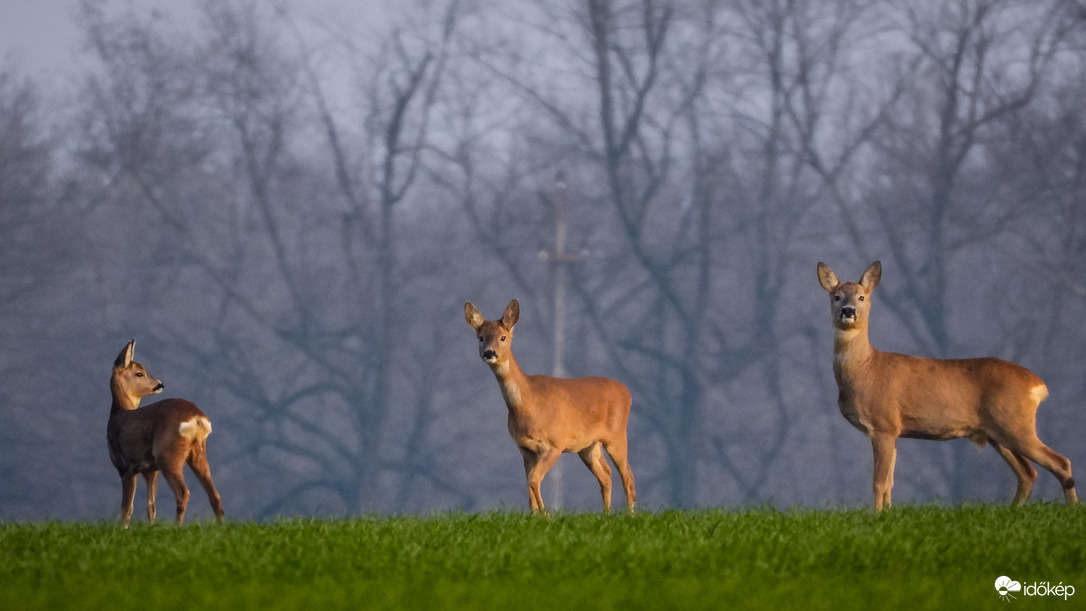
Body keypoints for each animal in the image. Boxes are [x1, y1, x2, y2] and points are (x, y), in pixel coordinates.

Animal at [106, 342, 224, 527]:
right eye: (139, 373)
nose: (160, 384)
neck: (117, 414)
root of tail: (197, 417)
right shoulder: (151, 470)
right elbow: (151, 507)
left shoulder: (126, 466)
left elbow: (127, 508)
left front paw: (123, 529)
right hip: (197, 452)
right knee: (215, 495)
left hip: (168, 454)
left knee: (183, 492)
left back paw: (178, 526)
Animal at [460, 299, 634, 514]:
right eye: (481, 337)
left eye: (503, 337)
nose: (489, 353)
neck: (527, 403)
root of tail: (627, 391)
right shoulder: (525, 448)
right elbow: (529, 483)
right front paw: (534, 515)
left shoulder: (554, 444)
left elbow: (534, 480)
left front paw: (546, 514)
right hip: (589, 446)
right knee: (607, 475)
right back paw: (606, 514)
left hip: (616, 435)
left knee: (627, 475)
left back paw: (629, 513)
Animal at [816, 260, 1077, 510]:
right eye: (837, 296)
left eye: (861, 296)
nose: (848, 311)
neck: (865, 369)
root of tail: (1038, 385)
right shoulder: (895, 431)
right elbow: (890, 482)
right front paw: (888, 513)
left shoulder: (884, 424)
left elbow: (879, 482)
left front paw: (878, 515)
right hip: (998, 433)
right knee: (1028, 473)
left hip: (1016, 424)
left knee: (1060, 462)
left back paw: (1072, 508)